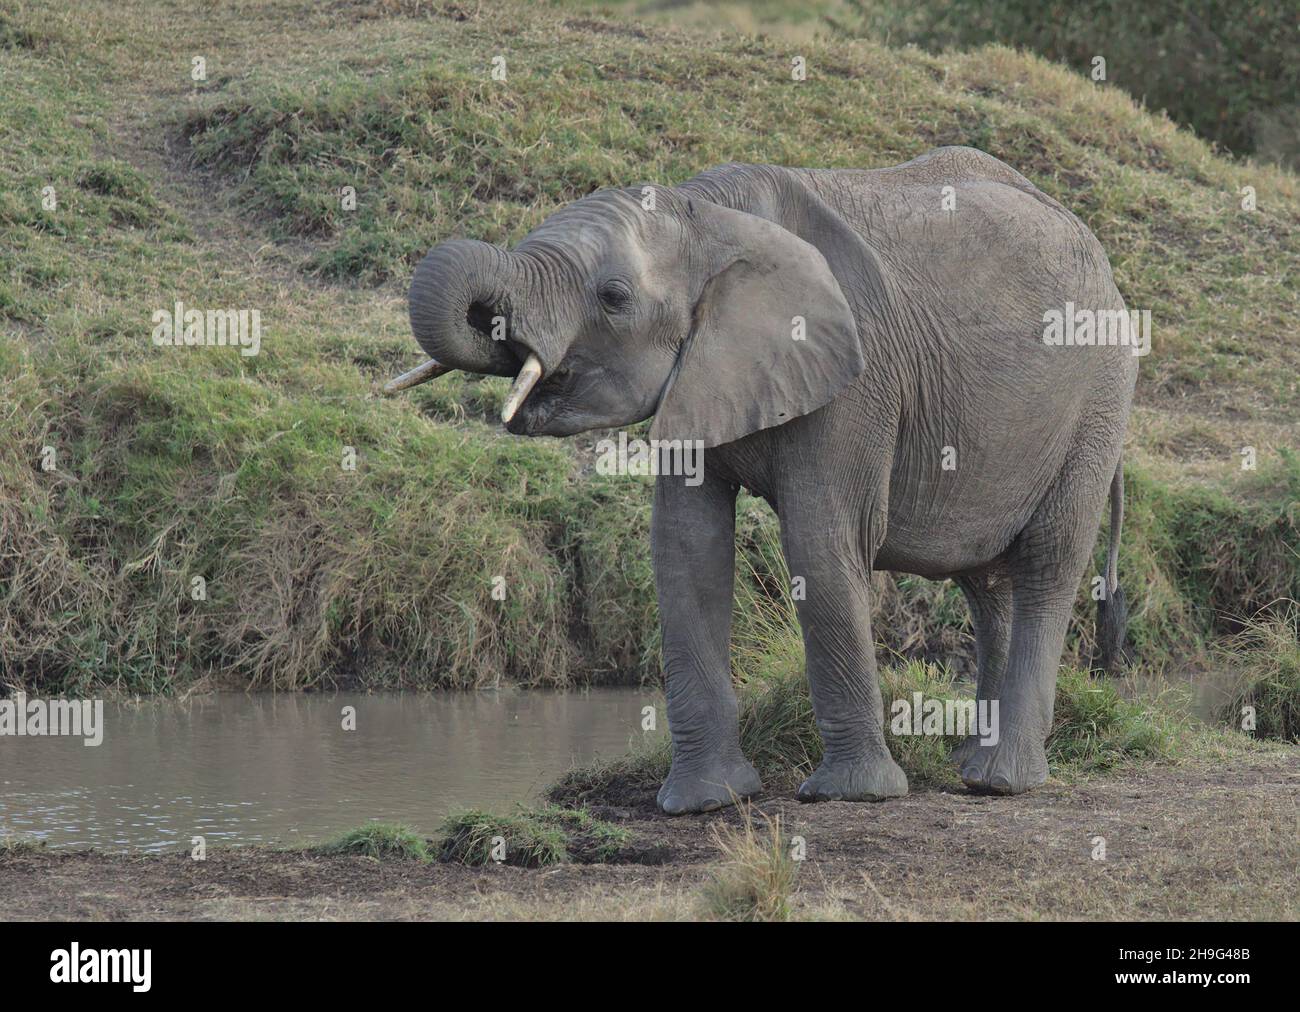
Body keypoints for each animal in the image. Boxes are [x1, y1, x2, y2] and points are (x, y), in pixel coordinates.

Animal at [384, 145, 1138, 811]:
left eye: (614, 297)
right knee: (990, 587)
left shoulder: (856, 376)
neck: (707, 213)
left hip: (1098, 401)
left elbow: (820, 543)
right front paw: (703, 804)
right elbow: (686, 550)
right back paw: (975, 769)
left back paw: (1003, 782)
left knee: (1045, 565)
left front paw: (851, 796)